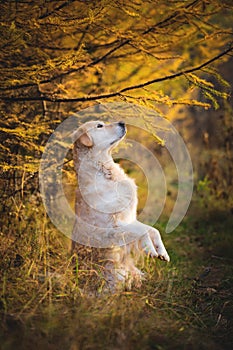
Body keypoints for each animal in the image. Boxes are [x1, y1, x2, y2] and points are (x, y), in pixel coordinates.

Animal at [72, 120, 168, 290]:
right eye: (99, 126)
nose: (122, 122)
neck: (105, 171)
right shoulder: (112, 226)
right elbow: (143, 232)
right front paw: (150, 249)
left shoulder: (129, 218)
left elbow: (153, 230)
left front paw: (162, 252)